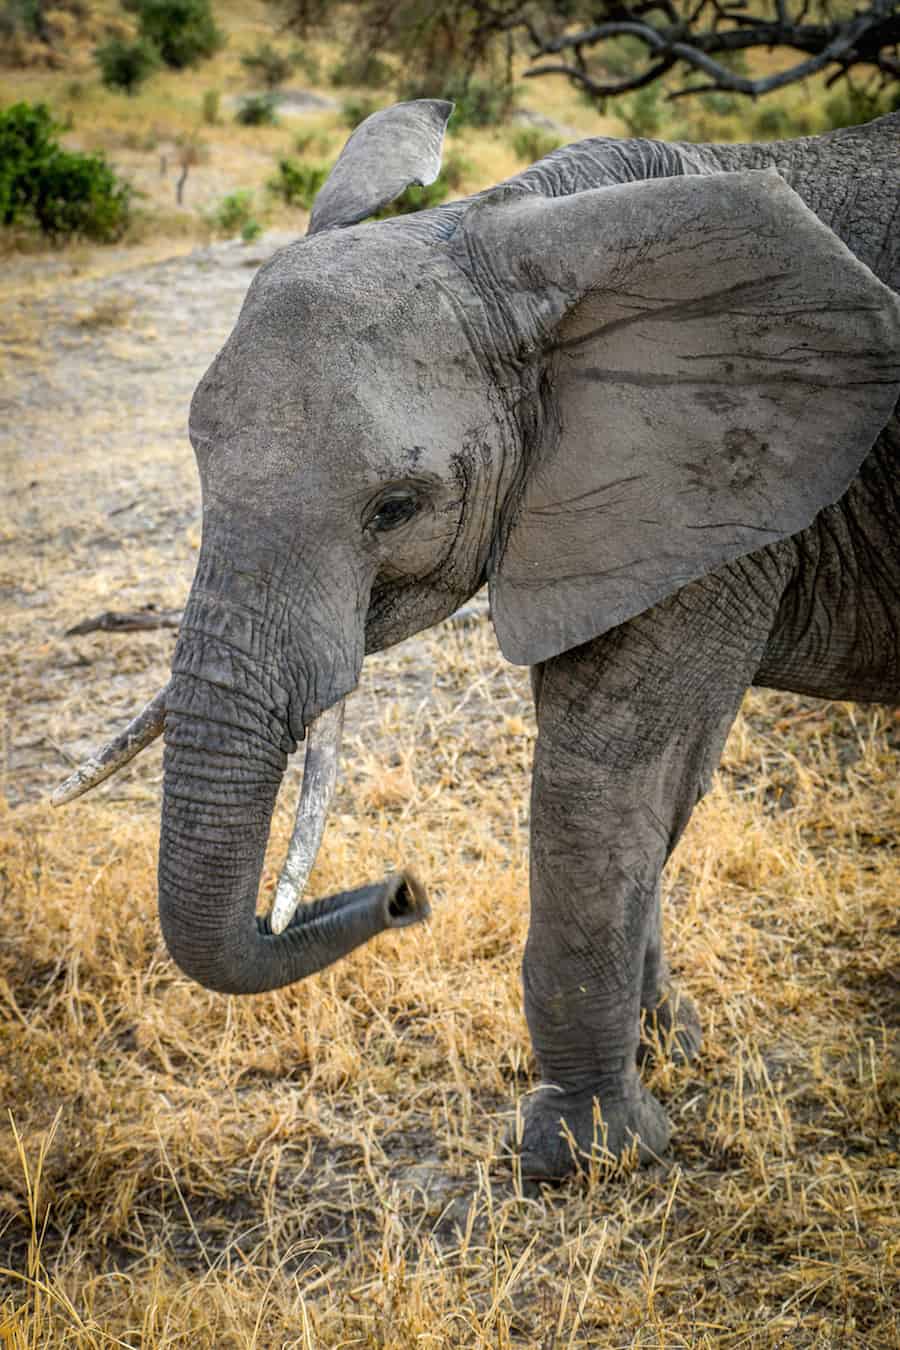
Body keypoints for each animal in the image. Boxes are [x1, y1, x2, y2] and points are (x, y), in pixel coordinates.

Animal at [58, 99, 900, 1177]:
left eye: (396, 507)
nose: (403, 892)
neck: (511, 226)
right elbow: (639, 786)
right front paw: (666, 1056)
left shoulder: (727, 477)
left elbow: (607, 774)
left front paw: (584, 1153)